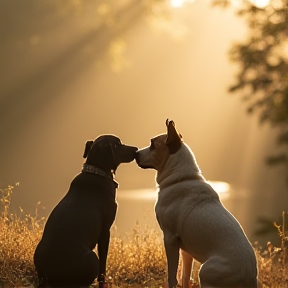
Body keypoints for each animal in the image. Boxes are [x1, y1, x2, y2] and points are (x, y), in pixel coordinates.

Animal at [33, 136, 137, 288]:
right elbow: (103, 266)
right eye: (118, 144)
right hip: (92, 257)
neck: (97, 172)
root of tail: (51, 275)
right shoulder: (105, 231)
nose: (136, 149)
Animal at [136, 119, 258, 288]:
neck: (180, 178)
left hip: (205, 272)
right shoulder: (186, 250)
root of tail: (249, 276)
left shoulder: (170, 239)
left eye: (153, 144)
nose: (135, 153)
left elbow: (172, 275)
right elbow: (185, 277)